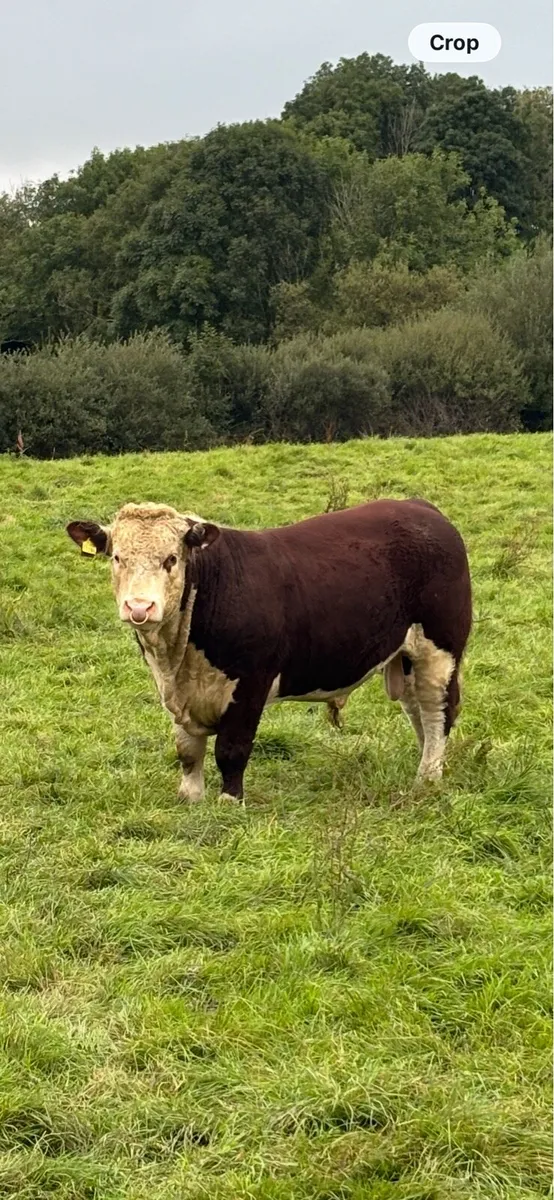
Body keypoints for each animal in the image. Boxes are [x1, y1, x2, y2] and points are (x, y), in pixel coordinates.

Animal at [66, 498, 472, 803]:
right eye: (117, 557)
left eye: (171, 559)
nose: (139, 607)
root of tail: (420, 506)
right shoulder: (174, 691)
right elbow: (187, 749)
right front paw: (190, 797)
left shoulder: (251, 683)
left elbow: (231, 749)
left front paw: (229, 802)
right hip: (407, 657)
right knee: (419, 711)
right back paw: (427, 764)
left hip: (441, 649)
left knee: (438, 710)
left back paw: (427, 778)